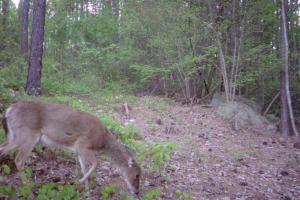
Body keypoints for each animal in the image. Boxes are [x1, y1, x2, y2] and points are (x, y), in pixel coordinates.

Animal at [0, 101, 141, 195]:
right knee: (18, 159)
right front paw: (79, 181)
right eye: (137, 175)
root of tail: (8, 110)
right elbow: (96, 163)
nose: (137, 192)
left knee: (3, 149)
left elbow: (84, 168)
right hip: (27, 135)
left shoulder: (79, 151)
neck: (103, 142)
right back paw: (28, 187)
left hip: (14, 136)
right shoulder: (83, 144)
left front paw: (86, 191)